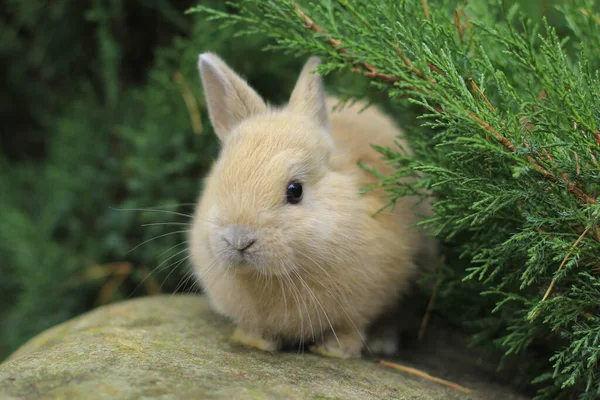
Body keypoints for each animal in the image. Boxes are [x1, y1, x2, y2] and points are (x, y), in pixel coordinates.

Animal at [190, 53, 438, 360]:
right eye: (221, 178)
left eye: (295, 190)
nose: (239, 240)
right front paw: (254, 341)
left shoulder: (362, 303)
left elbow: (352, 327)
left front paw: (335, 350)